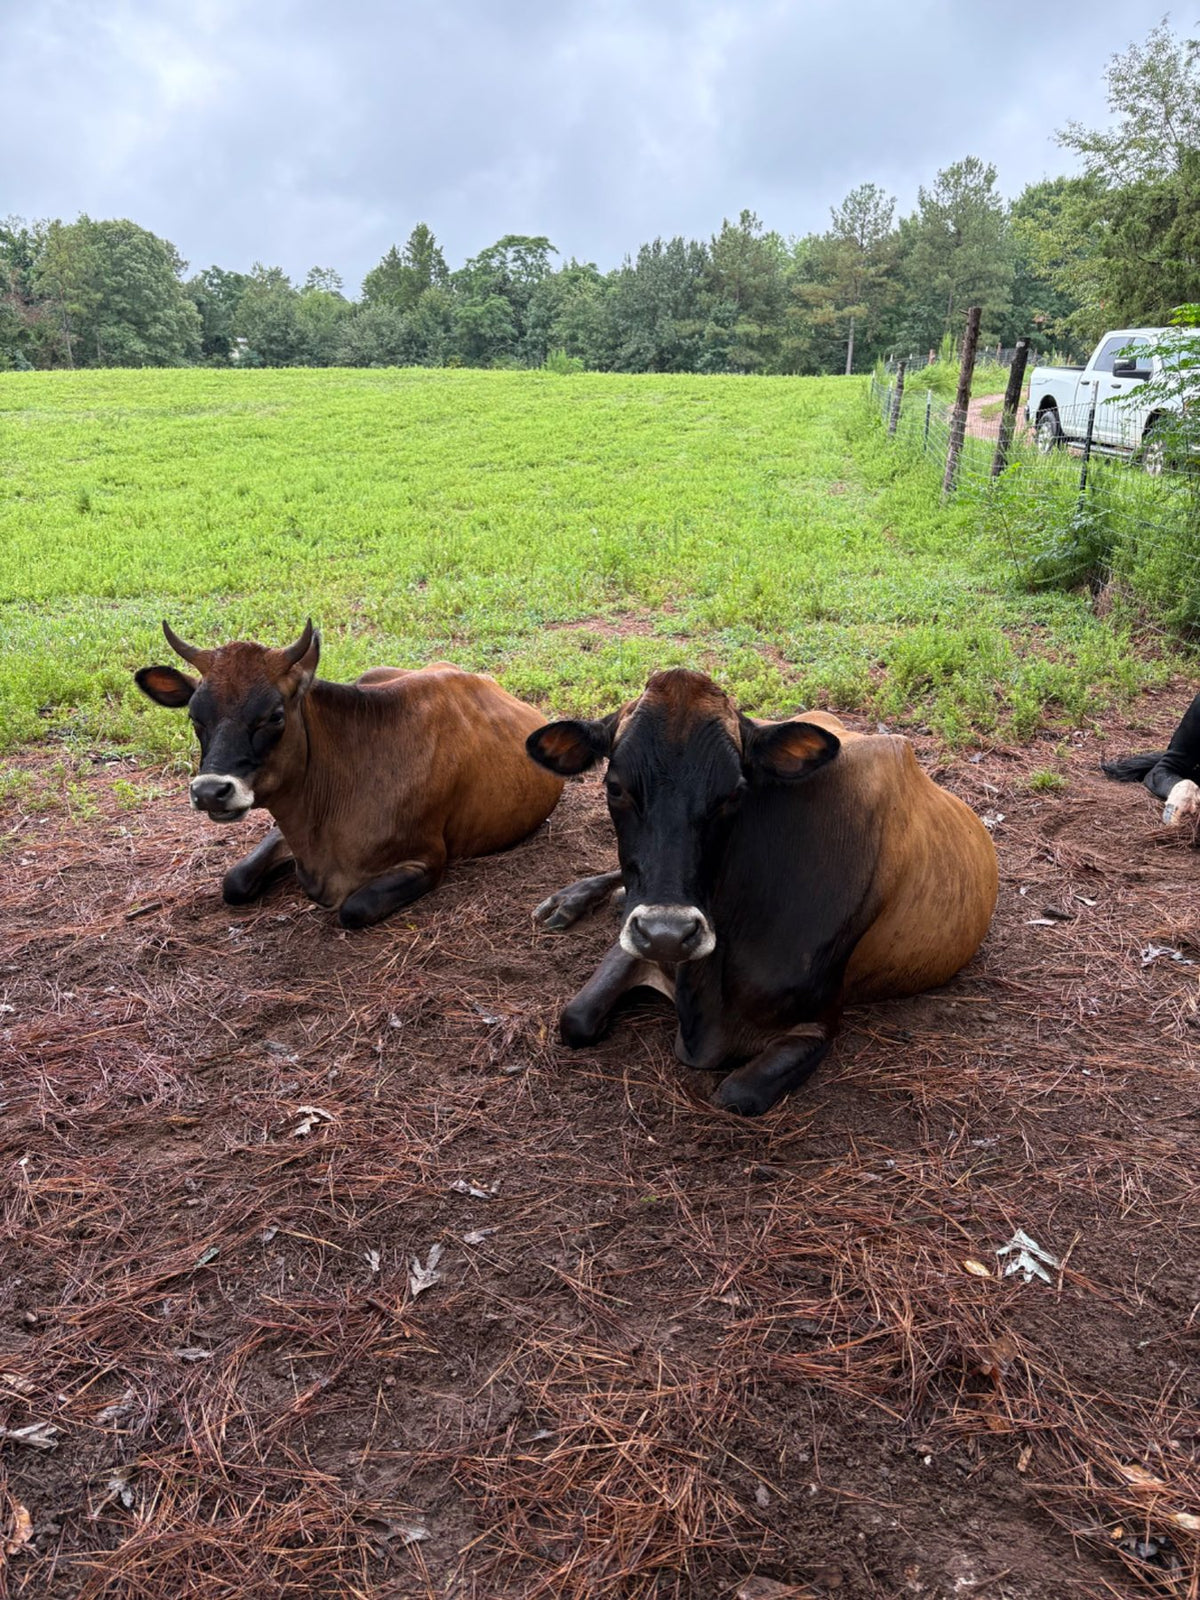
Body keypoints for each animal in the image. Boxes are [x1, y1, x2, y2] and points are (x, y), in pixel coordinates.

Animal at [134, 620, 564, 927]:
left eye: (274, 715)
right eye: (194, 716)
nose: (210, 791)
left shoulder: (427, 859)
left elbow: (354, 908)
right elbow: (234, 881)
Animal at [526, 669, 998, 1116]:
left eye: (734, 792)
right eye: (615, 787)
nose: (667, 933)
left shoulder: (817, 1023)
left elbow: (736, 1094)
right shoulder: (636, 944)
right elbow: (575, 1019)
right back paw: (570, 899)